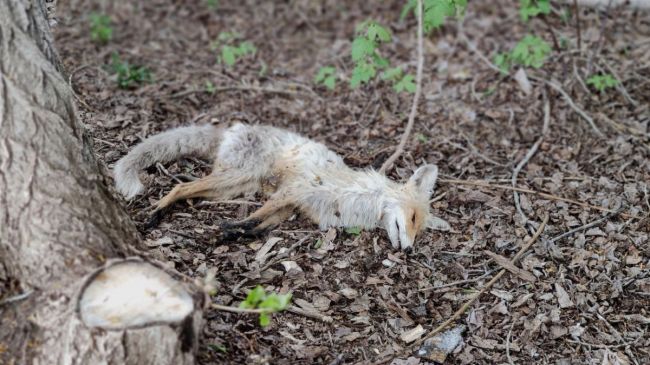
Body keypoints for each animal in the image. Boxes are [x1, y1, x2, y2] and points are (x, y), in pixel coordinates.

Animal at [112, 122, 446, 250]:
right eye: (412, 219)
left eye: (419, 230)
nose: (410, 249)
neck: (360, 197)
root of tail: (230, 129)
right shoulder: (295, 190)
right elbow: (253, 220)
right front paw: (225, 231)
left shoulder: (290, 207)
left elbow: (257, 227)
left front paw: (229, 235)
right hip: (237, 177)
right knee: (179, 189)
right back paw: (154, 214)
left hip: (233, 187)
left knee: (187, 190)